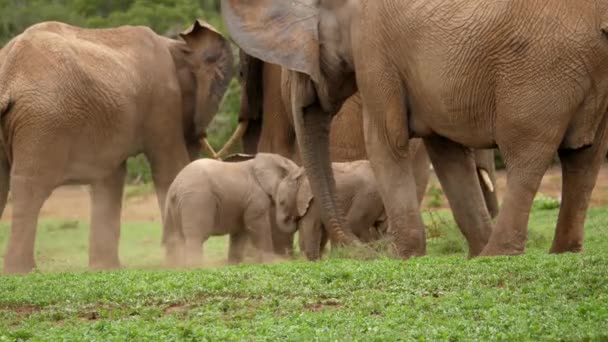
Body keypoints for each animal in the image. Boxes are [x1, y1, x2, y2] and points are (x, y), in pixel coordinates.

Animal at [0, 20, 233, 274]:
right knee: (31, 185)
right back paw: (22, 271)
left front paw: (104, 268)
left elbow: (110, 178)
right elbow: (169, 168)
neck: (175, 44)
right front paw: (179, 264)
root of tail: (9, 75)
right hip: (43, 120)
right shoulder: (163, 100)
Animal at [163, 152, 298, 268]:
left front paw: (234, 265)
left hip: (171, 206)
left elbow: (240, 232)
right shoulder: (255, 197)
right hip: (197, 200)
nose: (296, 218)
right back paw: (195, 267)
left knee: (173, 239)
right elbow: (256, 225)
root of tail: (176, 186)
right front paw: (272, 262)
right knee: (196, 237)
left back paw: (174, 267)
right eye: (283, 202)